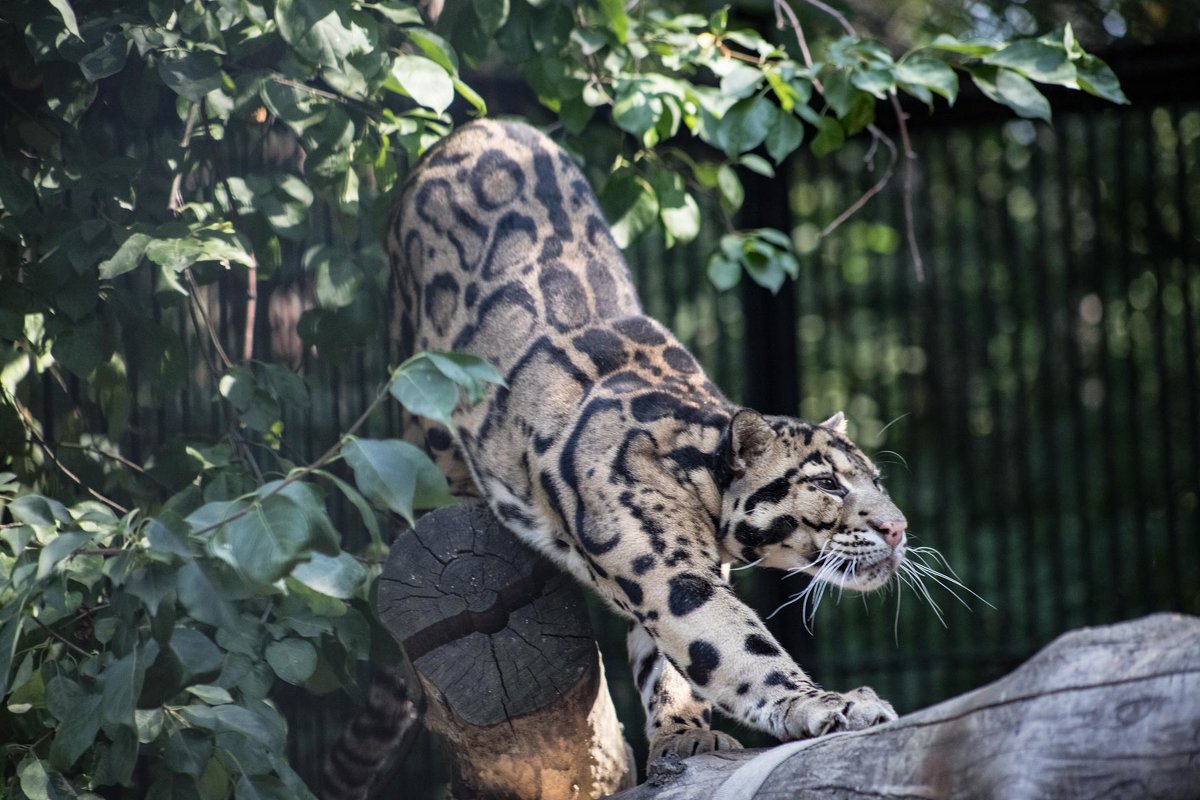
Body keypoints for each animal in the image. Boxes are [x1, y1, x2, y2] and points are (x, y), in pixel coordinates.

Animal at [384, 120, 902, 762]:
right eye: (828, 483)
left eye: (876, 481)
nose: (898, 529)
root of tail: (472, 127)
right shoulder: (670, 576)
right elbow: (740, 649)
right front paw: (830, 704)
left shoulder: (675, 576)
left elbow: (670, 665)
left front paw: (683, 732)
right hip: (424, 401)